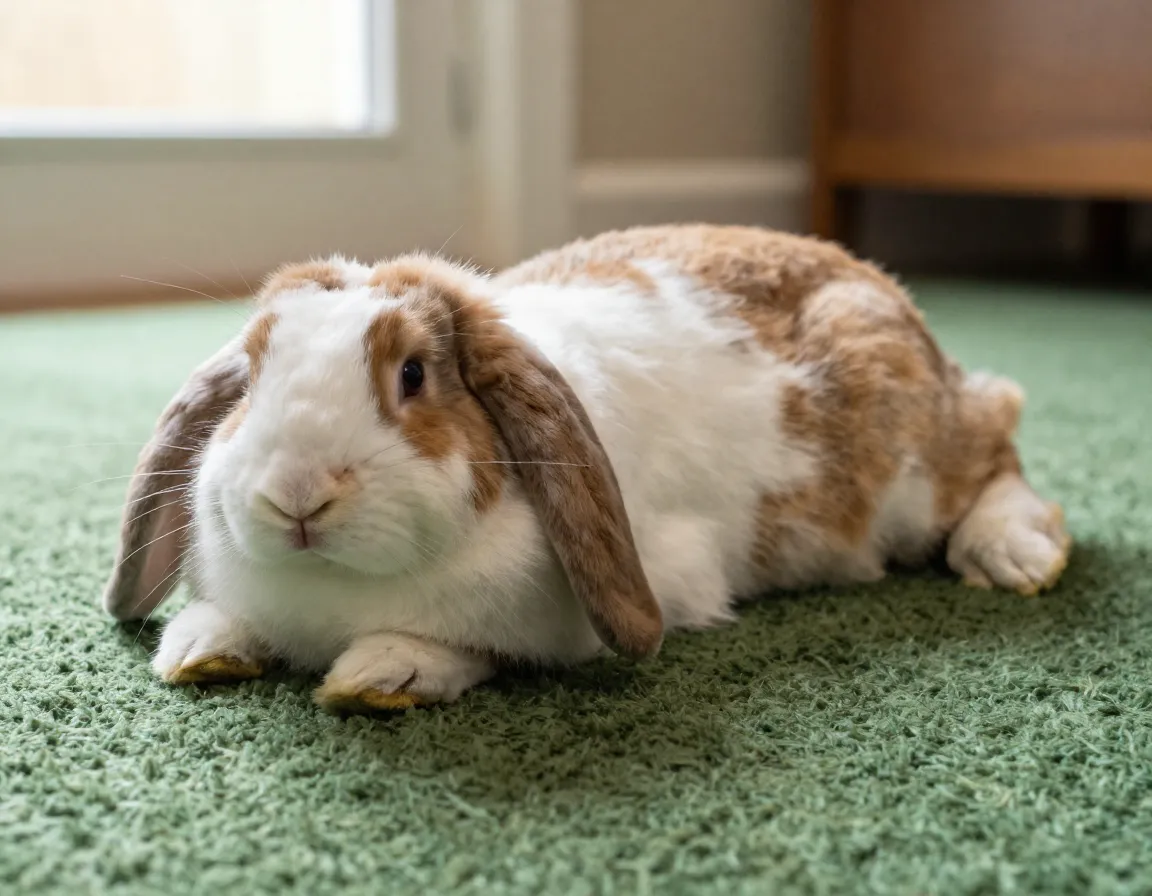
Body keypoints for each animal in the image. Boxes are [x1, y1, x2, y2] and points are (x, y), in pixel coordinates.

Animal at [102, 225, 1070, 713]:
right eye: (251, 373)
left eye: (412, 375)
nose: (297, 497)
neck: (332, 589)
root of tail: (896, 300)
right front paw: (200, 647)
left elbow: (470, 648)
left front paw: (382, 675)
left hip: (908, 471)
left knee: (1000, 437)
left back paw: (1013, 555)